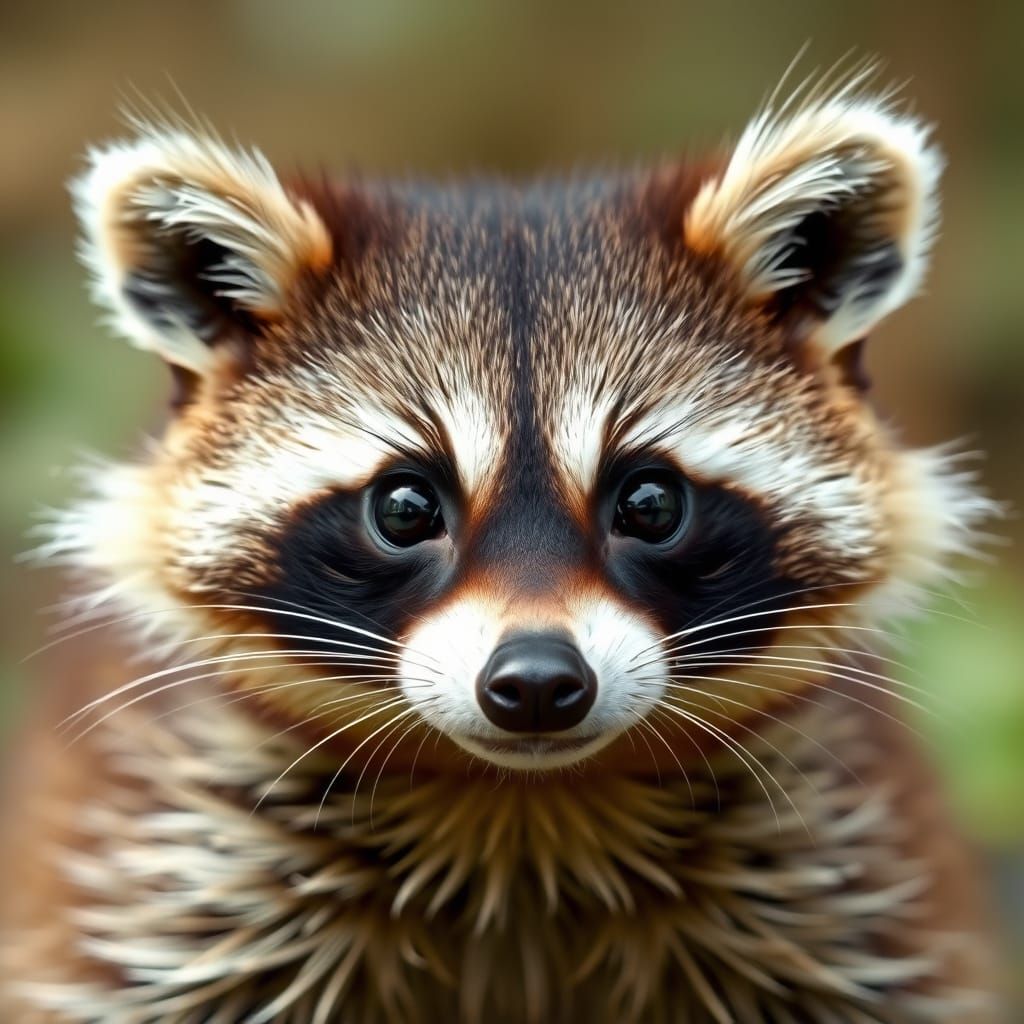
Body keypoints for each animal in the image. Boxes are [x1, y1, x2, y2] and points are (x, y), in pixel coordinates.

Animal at [0, 72, 1002, 1023]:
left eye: (649, 503)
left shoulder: (847, 858)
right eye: (405, 508)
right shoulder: (161, 856)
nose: (537, 684)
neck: (520, 806)